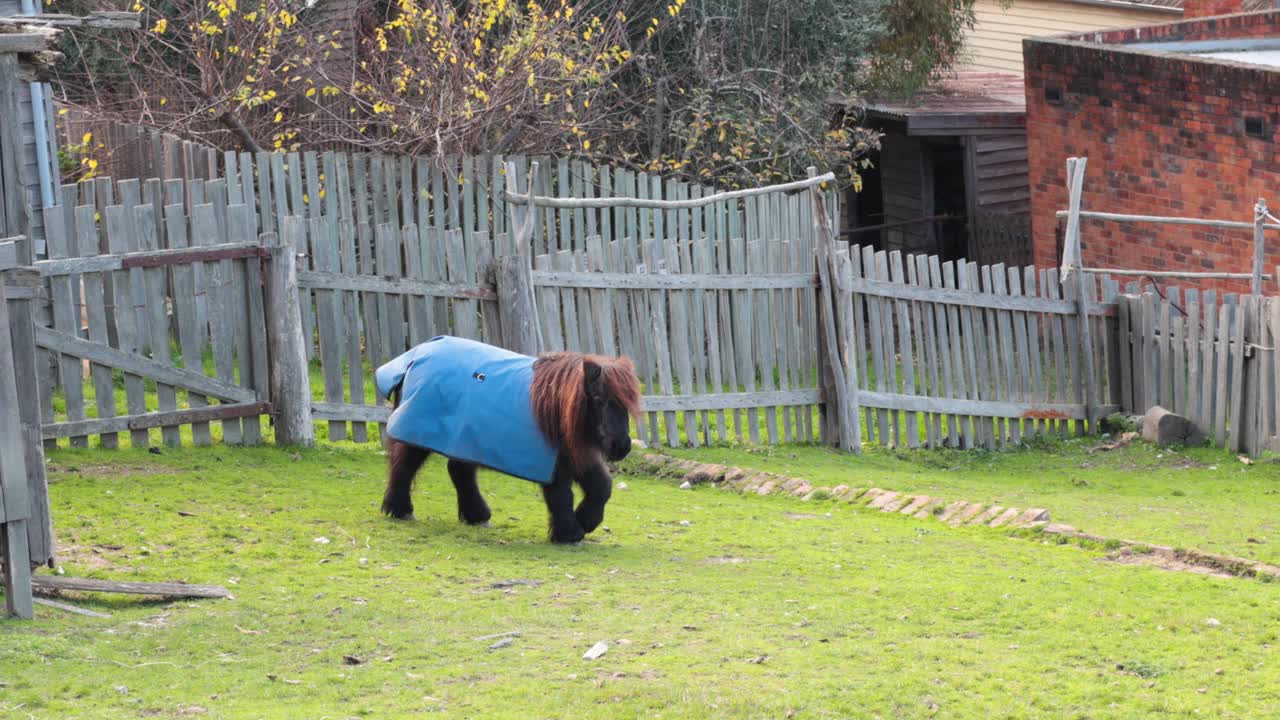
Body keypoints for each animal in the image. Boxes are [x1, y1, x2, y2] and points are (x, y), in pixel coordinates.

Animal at [378, 348, 640, 543]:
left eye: (627, 402)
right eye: (598, 399)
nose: (621, 446)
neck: (555, 406)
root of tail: (413, 357)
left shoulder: (576, 454)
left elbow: (601, 487)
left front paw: (586, 521)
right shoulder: (553, 462)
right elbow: (560, 495)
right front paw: (569, 533)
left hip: (464, 438)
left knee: (459, 471)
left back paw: (476, 515)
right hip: (418, 433)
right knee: (404, 465)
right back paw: (399, 509)